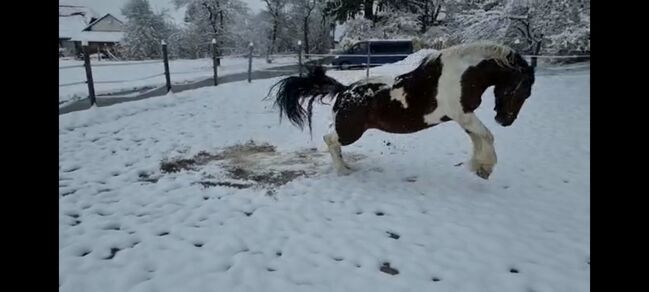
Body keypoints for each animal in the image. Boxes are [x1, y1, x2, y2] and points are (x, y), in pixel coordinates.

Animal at [266, 40, 536, 178]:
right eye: (525, 91)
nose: (505, 120)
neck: (461, 74)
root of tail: (344, 91)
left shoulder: (464, 118)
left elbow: (478, 139)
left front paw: (478, 167)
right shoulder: (463, 115)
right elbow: (487, 136)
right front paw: (485, 167)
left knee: (332, 141)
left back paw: (347, 166)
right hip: (350, 131)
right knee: (329, 139)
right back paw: (343, 171)